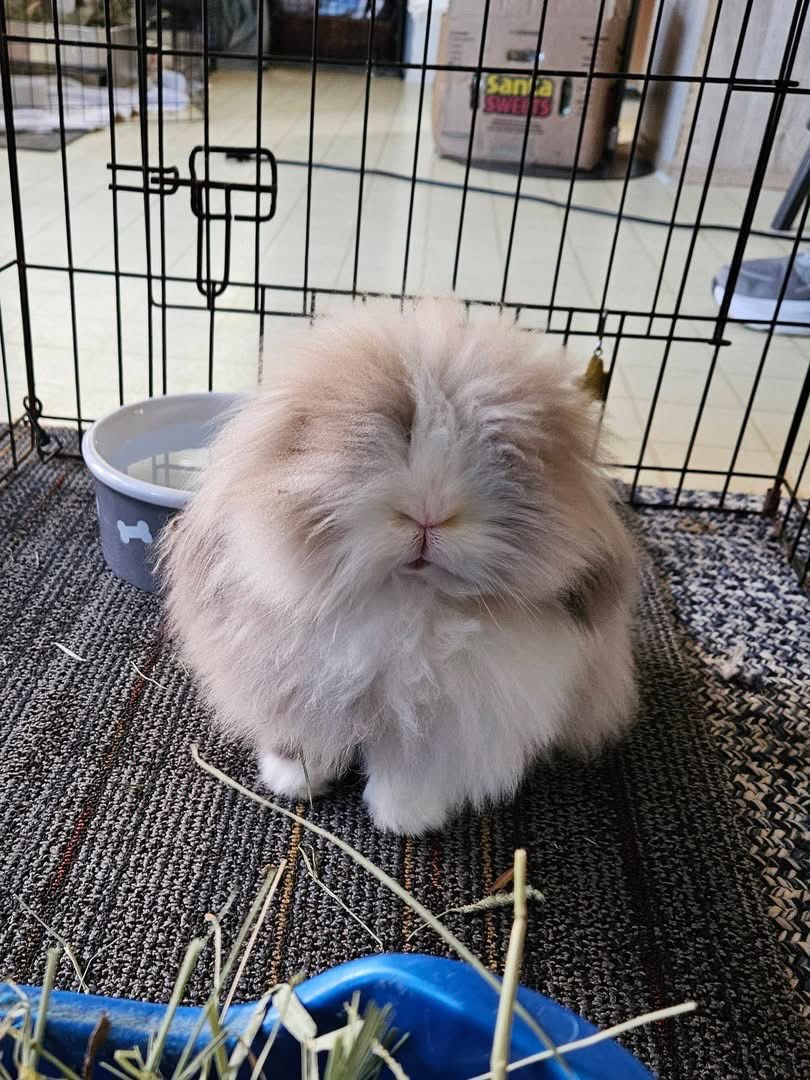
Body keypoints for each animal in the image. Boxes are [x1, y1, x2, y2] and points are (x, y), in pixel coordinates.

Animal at [160, 299, 637, 835]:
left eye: (506, 454)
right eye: (381, 434)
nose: (428, 511)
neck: (406, 600)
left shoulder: (448, 724)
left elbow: (413, 770)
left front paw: (403, 819)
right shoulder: (293, 685)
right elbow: (304, 742)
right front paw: (294, 783)